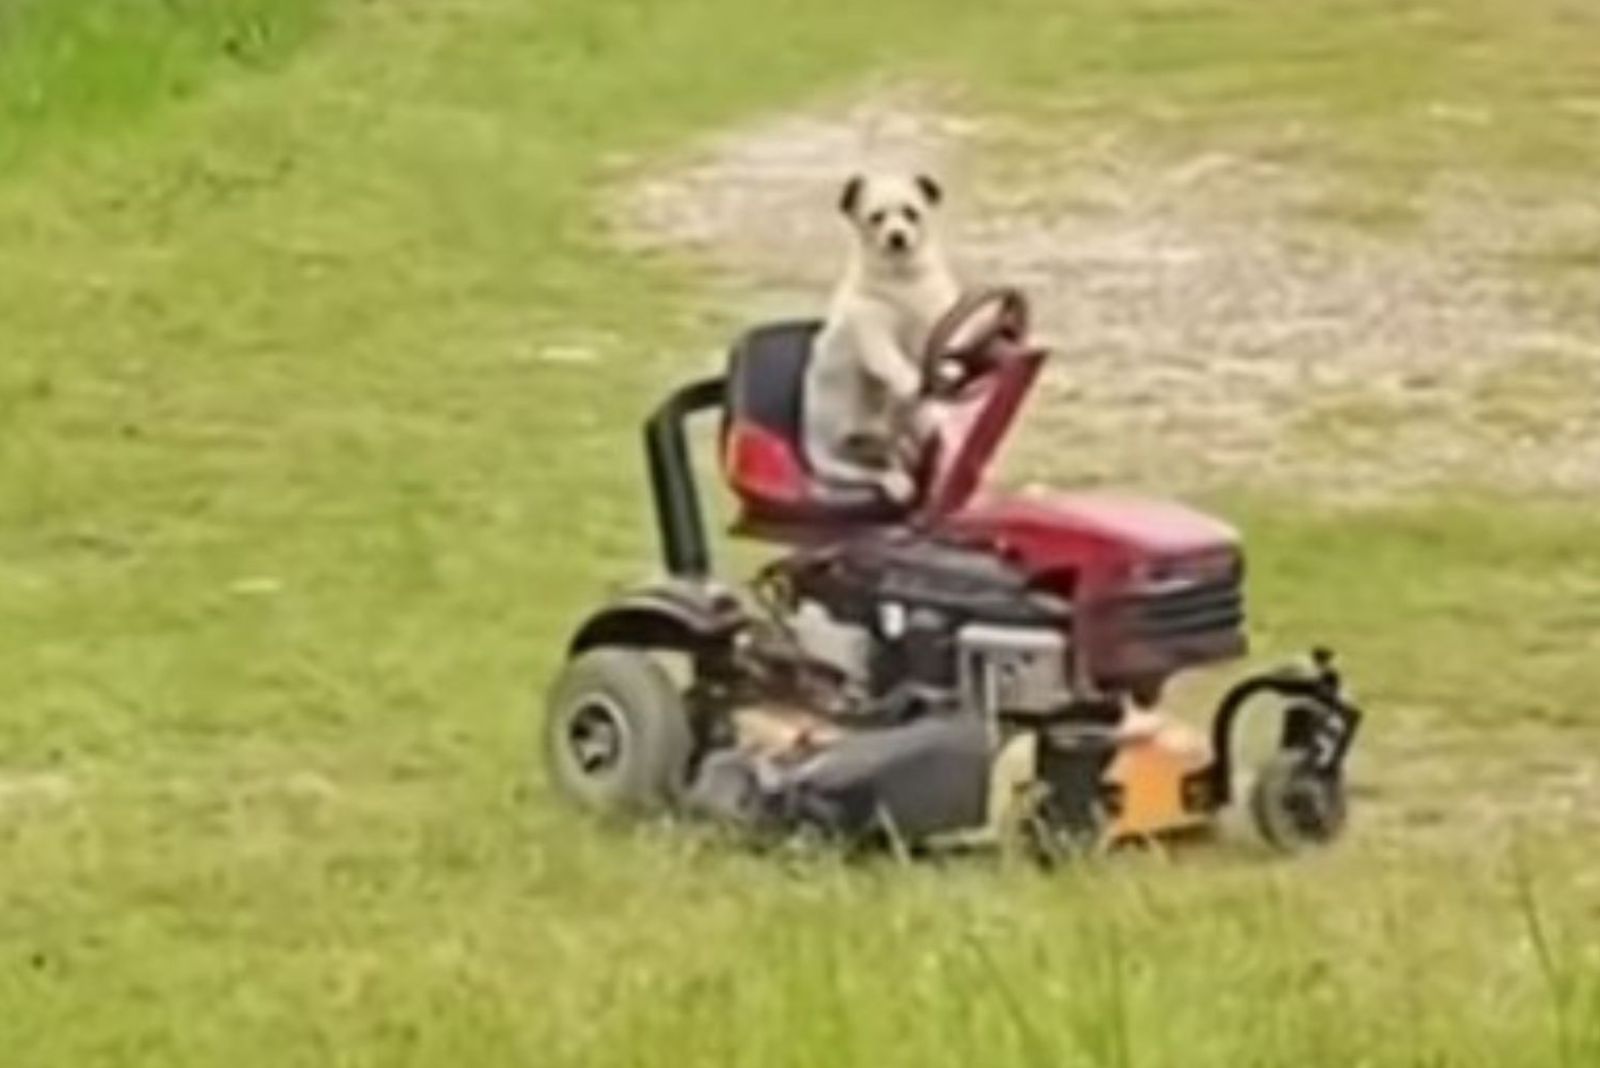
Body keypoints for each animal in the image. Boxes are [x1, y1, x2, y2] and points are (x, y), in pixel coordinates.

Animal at [806, 168, 953, 502]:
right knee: (871, 473)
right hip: (837, 464)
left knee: (891, 456)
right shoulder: (874, 336)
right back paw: (895, 482)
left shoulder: (934, 319)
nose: (896, 237)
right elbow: (893, 362)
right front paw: (912, 380)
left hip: (889, 436)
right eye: (876, 218)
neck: (903, 280)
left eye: (911, 213)